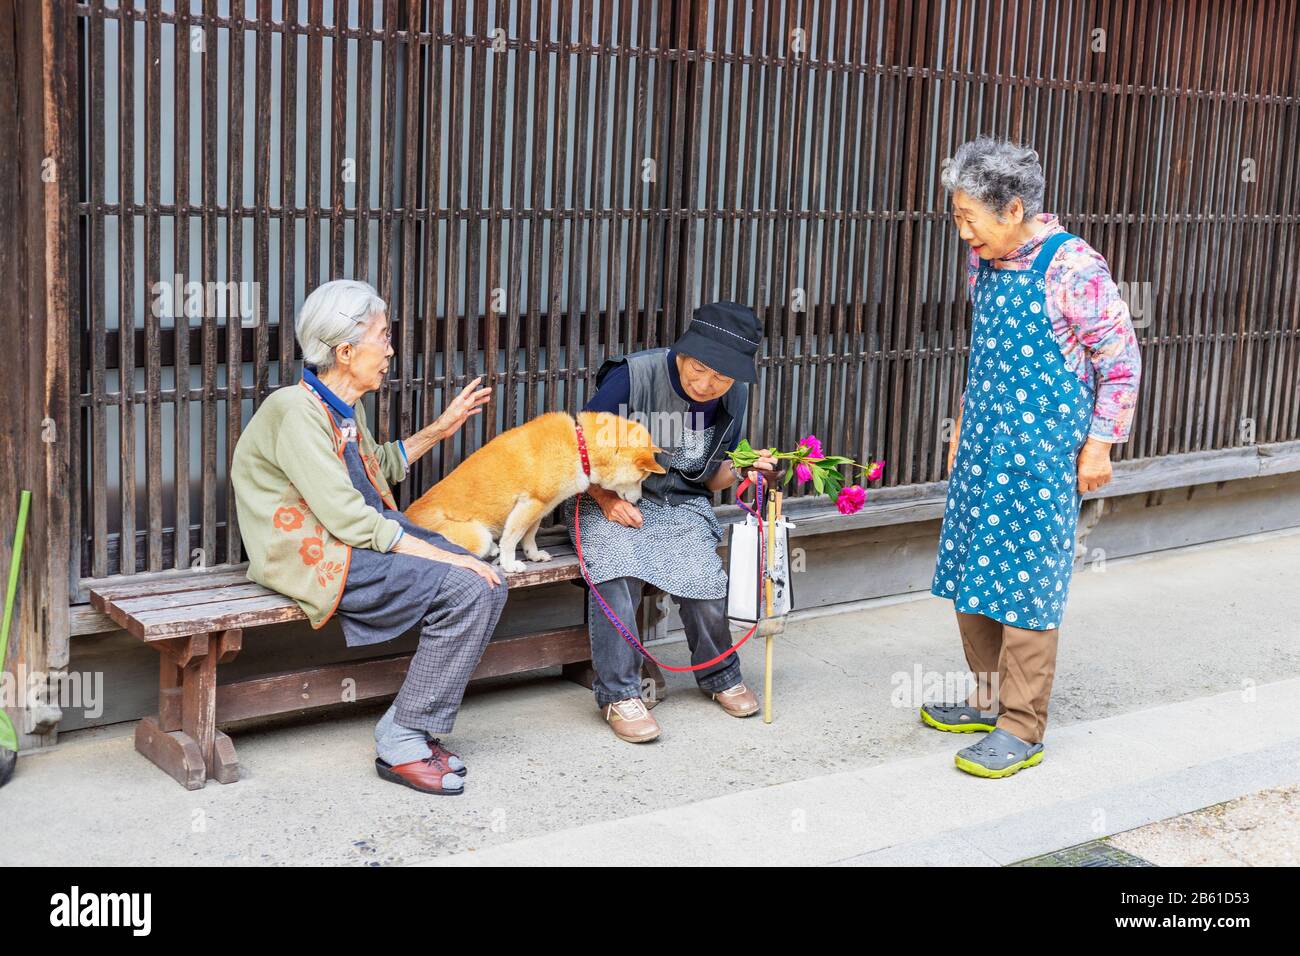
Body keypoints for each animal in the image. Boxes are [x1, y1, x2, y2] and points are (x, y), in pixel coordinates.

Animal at [405, 408, 665, 572]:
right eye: (642, 478)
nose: (639, 502)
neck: (579, 446)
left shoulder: (541, 507)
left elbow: (529, 535)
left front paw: (533, 555)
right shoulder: (530, 503)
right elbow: (511, 540)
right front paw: (510, 565)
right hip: (476, 534)